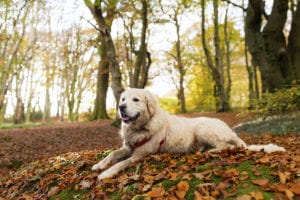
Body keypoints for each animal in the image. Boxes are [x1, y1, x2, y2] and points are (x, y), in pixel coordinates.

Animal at [92, 88, 286, 180]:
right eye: (123, 99)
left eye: (136, 100)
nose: (121, 107)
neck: (142, 127)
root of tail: (229, 129)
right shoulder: (128, 147)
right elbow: (112, 154)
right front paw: (100, 165)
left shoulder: (140, 154)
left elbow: (121, 162)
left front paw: (106, 173)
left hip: (203, 128)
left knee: (226, 146)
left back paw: (210, 151)